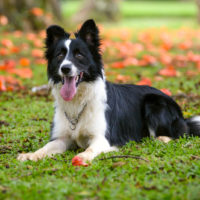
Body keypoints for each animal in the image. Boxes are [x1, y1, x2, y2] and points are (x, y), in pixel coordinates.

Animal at [17, 19, 200, 166]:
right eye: (60, 55)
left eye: (79, 55)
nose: (65, 68)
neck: (79, 101)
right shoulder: (61, 138)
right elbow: (45, 147)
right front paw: (31, 154)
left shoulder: (102, 138)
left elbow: (90, 149)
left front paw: (82, 157)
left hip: (154, 103)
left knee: (179, 133)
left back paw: (162, 138)